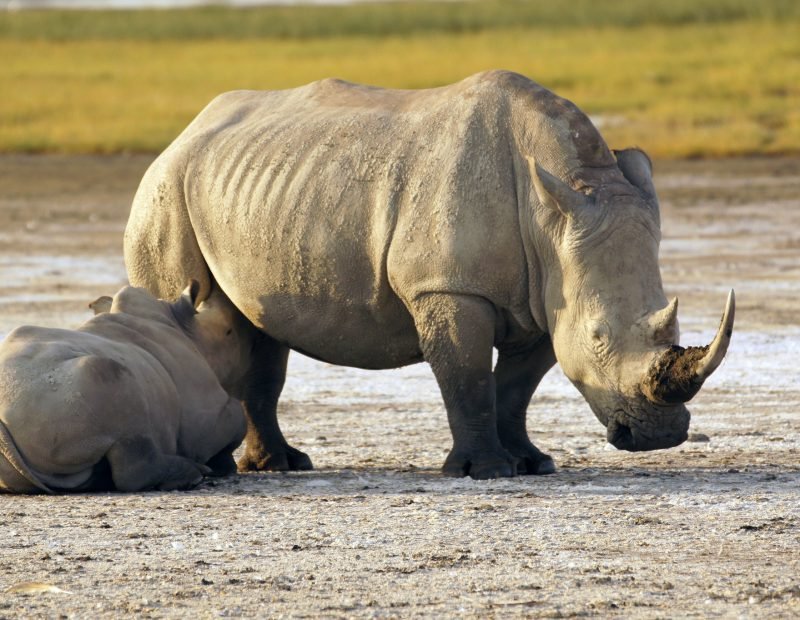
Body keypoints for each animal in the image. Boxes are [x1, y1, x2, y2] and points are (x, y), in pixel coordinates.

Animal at [0, 283, 247, 493]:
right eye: (229, 333)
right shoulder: (208, 420)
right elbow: (237, 420)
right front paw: (223, 467)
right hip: (68, 393)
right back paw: (194, 475)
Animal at [124, 70, 734, 480]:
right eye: (600, 337)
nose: (658, 437)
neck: (554, 212)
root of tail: (185, 132)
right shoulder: (448, 285)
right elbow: (467, 375)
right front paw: (485, 471)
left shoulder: (549, 291)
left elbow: (516, 387)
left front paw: (533, 463)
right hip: (164, 190)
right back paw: (233, 467)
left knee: (257, 332)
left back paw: (282, 465)